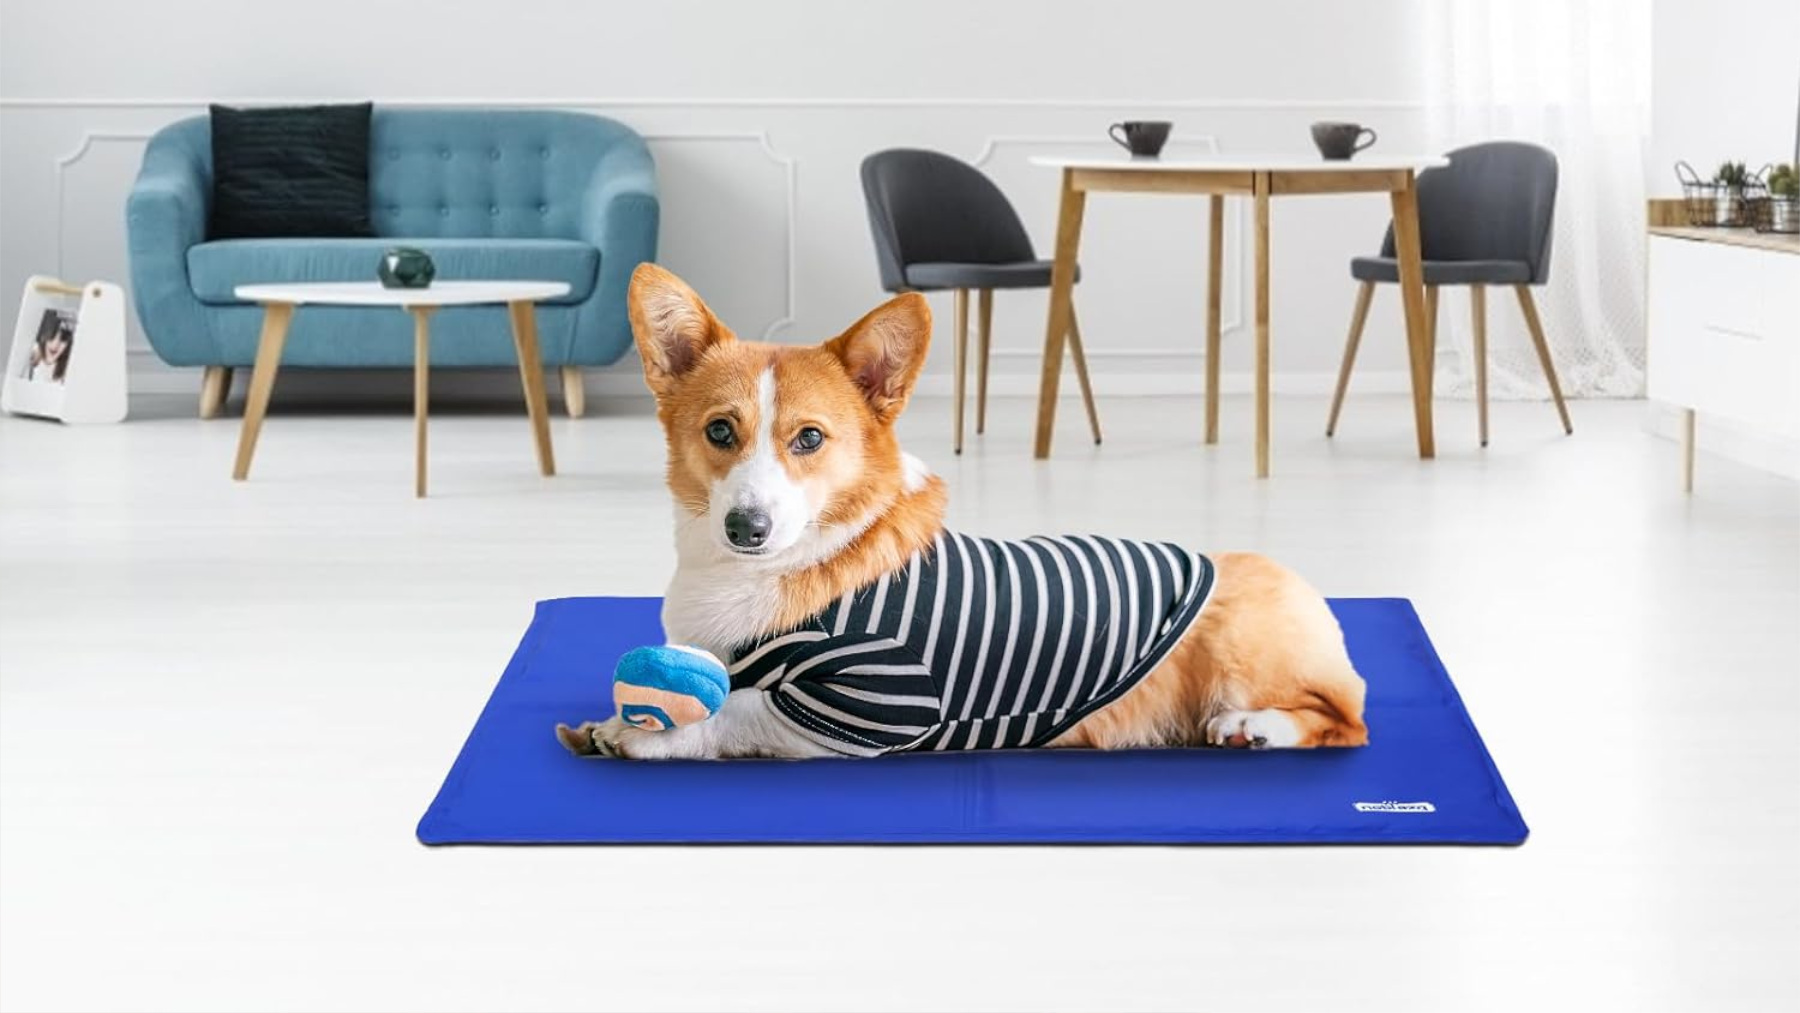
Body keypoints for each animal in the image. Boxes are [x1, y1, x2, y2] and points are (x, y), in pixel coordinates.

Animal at [554, 266, 1368, 755]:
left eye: (809, 438)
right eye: (721, 431)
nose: (746, 528)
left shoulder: (869, 705)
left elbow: (740, 706)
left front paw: (647, 735)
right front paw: (613, 719)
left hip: (1238, 647)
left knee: (1345, 717)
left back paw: (1251, 727)